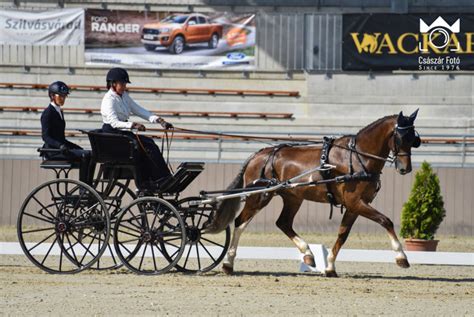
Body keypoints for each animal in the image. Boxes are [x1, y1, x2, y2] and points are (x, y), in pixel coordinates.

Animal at [206, 110, 420, 276]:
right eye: (400, 137)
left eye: (414, 139)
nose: (405, 169)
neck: (357, 158)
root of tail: (259, 154)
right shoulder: (355, 202)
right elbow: (386, 221)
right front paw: (401, 257)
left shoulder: (354, 206)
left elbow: (343, 234)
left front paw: (330, 267)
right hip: (258, 196)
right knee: (240, 223)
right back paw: (228, 263)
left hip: (292, 197)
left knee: (283, 223)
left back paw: (308, 255)